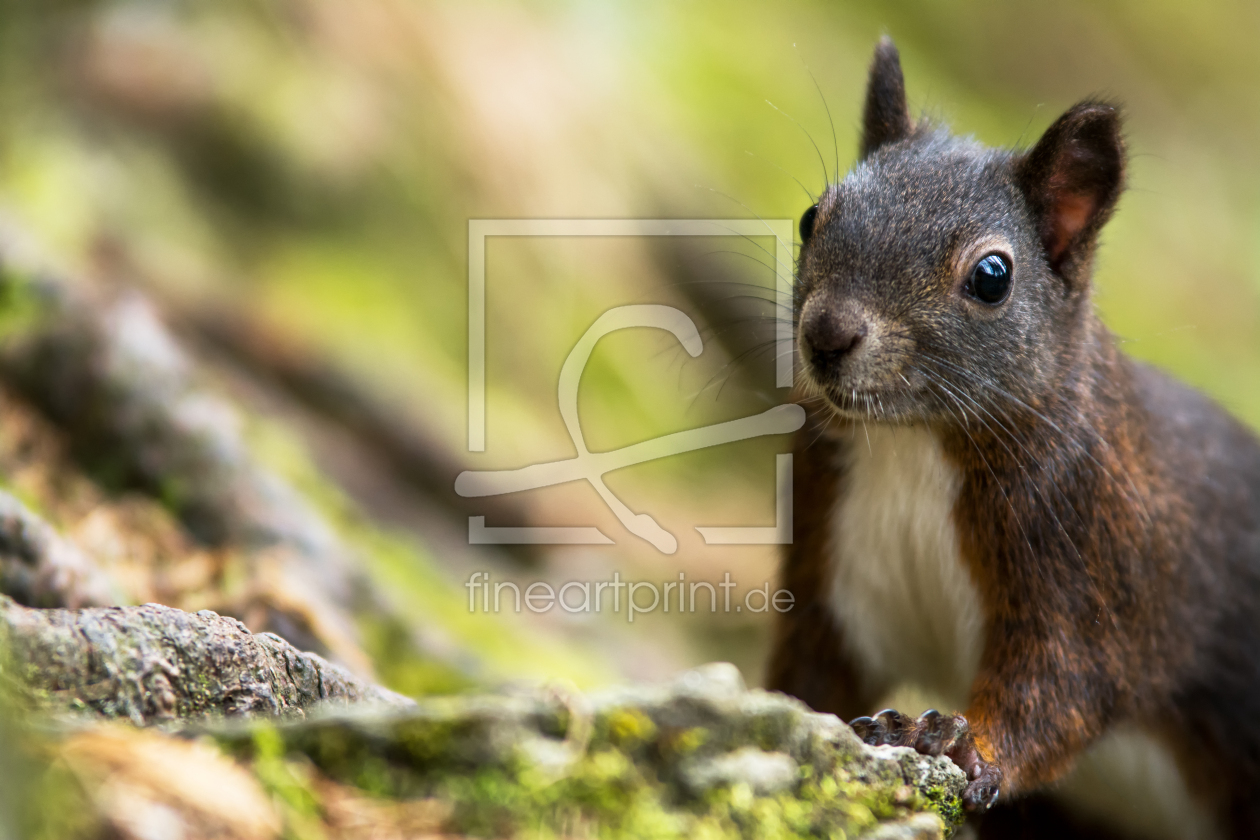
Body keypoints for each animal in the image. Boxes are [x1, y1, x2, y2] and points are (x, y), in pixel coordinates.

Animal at [761, 36, 1260, 836]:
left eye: (993, 276)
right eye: (813, 217)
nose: (826, 335)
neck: (914, 444)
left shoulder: (1098, 567)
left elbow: (1060, 690)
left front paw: (956, 742)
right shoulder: (831, 556)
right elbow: (812, 672)